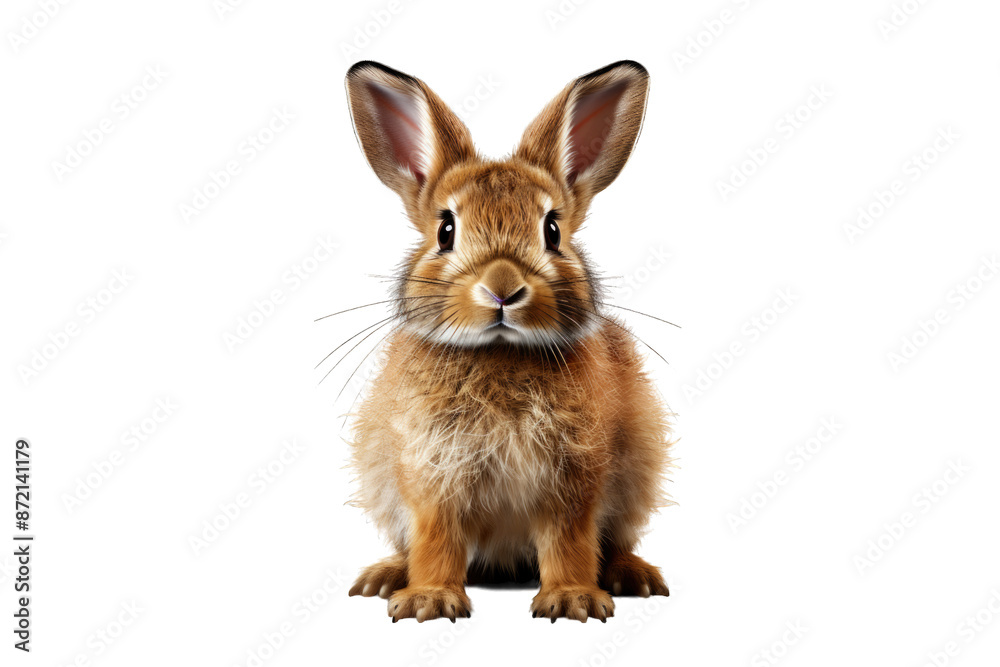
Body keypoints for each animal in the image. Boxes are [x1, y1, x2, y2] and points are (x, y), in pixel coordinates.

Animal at [342, 60, 673, 623]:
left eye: (553, 230)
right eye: (446, 230)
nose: (502, 289)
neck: (499, 353)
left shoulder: (574, 478)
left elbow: (569, 539)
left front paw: (573, 600)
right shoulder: (432, 474)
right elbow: (436, 538)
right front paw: (429, 600)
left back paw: (635, 576)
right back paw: (383, 578)